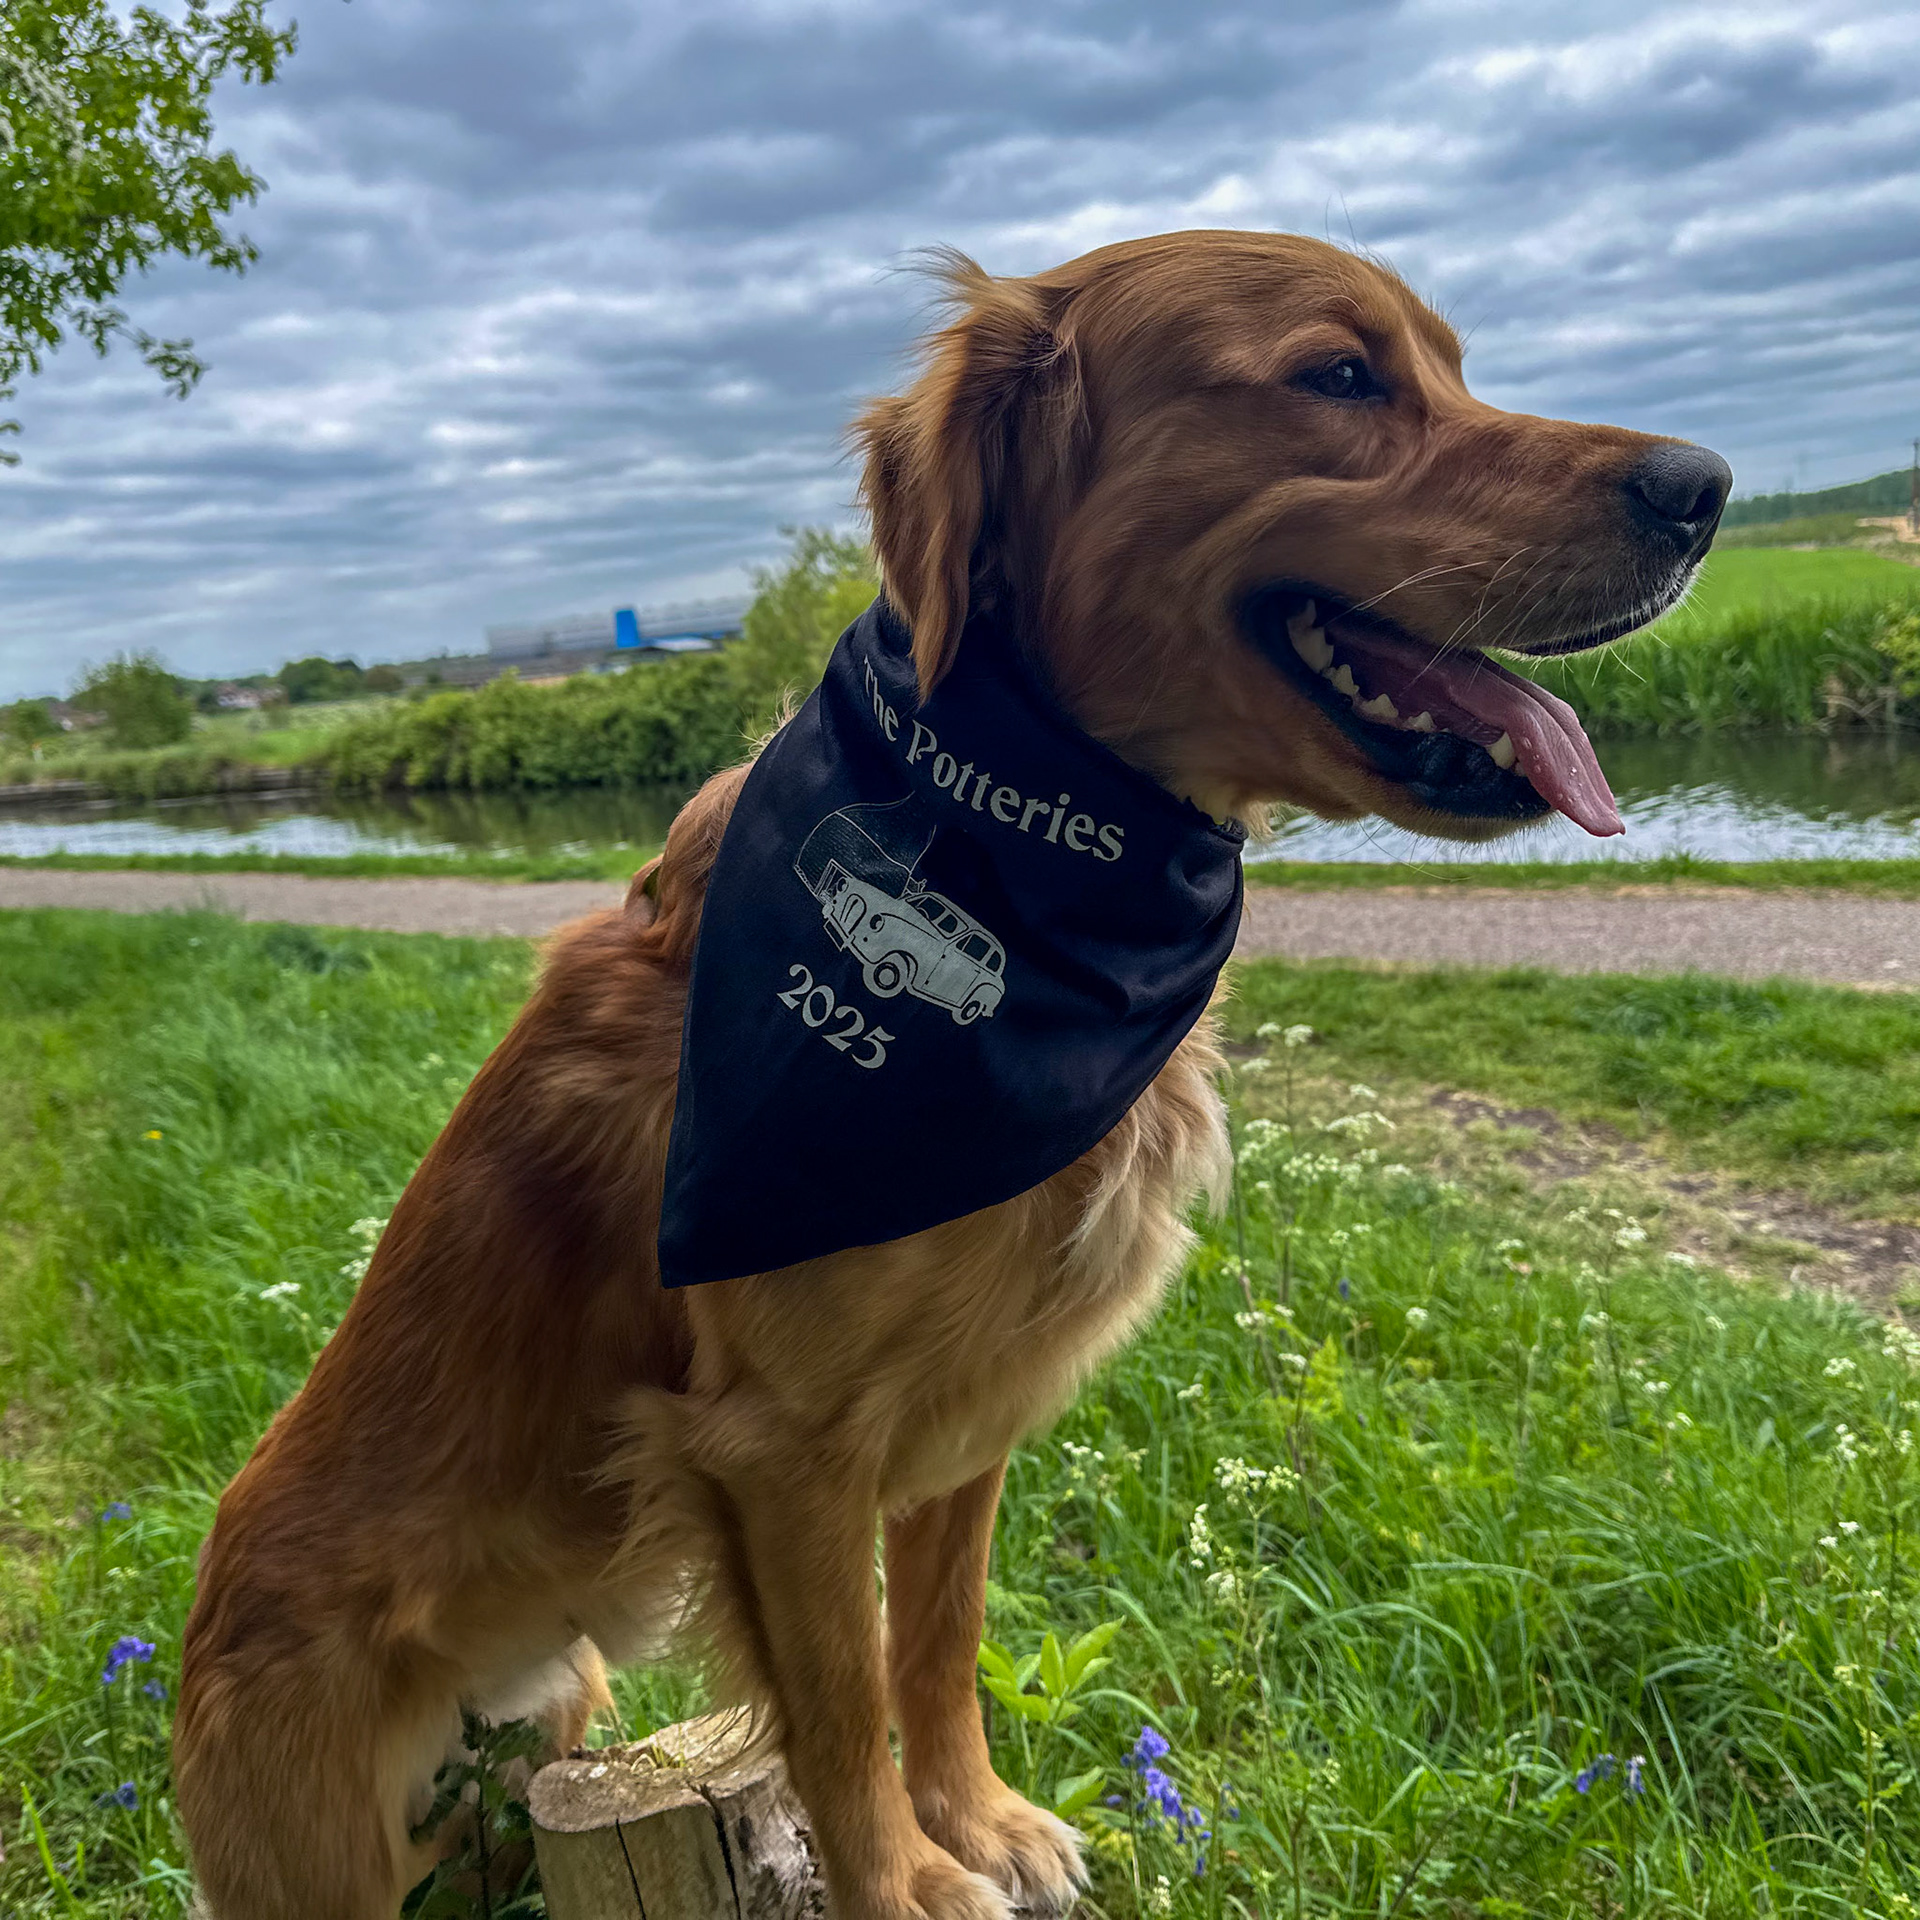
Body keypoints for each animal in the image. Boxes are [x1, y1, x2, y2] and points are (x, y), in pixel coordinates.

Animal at [175, 229, 1728, 1920]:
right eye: (1338, 374)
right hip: (320, 1846)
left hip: (555, 1715)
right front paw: (906, 1878)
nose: (1705, 486)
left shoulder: (966, 1408)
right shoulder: (781, 1446)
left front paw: (973, 1820)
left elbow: (936, 1641)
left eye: (1449, 365)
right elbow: (840, 1698)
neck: (1033, 862)